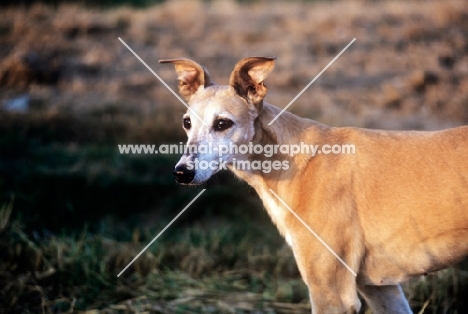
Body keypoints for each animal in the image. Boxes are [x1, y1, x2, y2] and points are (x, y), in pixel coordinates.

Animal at [160, 57, 468, 314]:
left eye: (223, 123)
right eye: (187, 123)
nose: (182, 173)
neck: (290, 159)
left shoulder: (331, 293)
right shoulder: (380, 288)